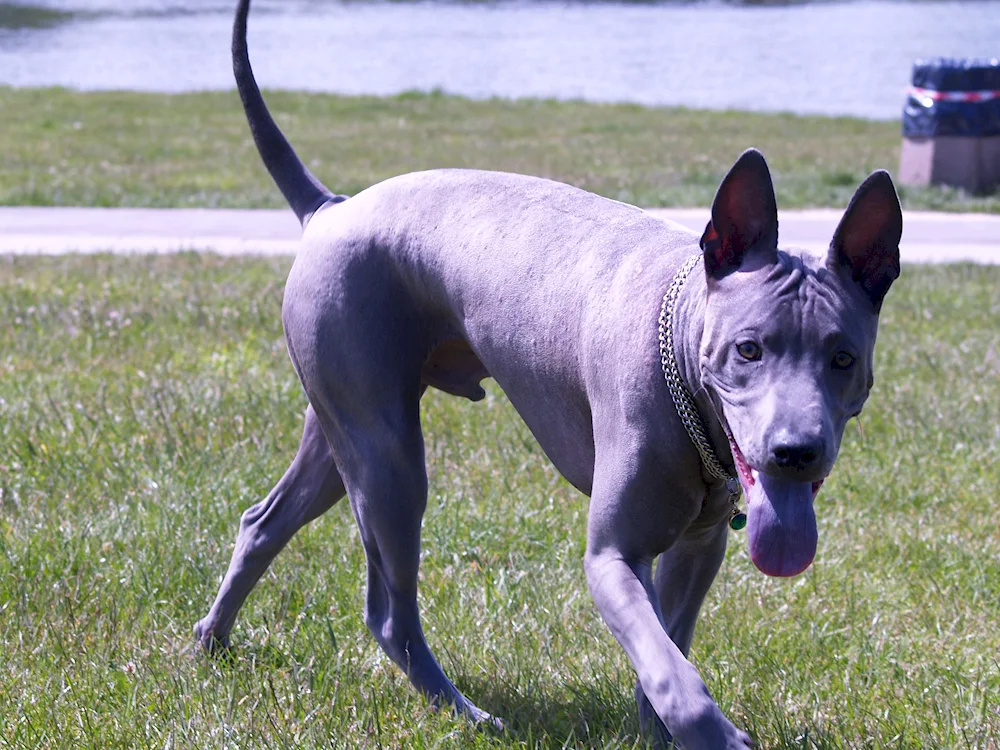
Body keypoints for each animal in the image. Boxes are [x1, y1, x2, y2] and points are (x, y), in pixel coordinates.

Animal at [191, 2, 904, 748]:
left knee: (263, 520)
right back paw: (466, 712)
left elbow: (668, 655)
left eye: (843, 359)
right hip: (388, 456)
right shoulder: (613, 557)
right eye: (749, 350)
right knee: (388, 610)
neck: (679, 347)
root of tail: (332, 205)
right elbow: (670, 674)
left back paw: (212, 640)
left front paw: (659, 730)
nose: (796, 452)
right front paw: (713, 734)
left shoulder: (698, 549)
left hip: (341, 428)